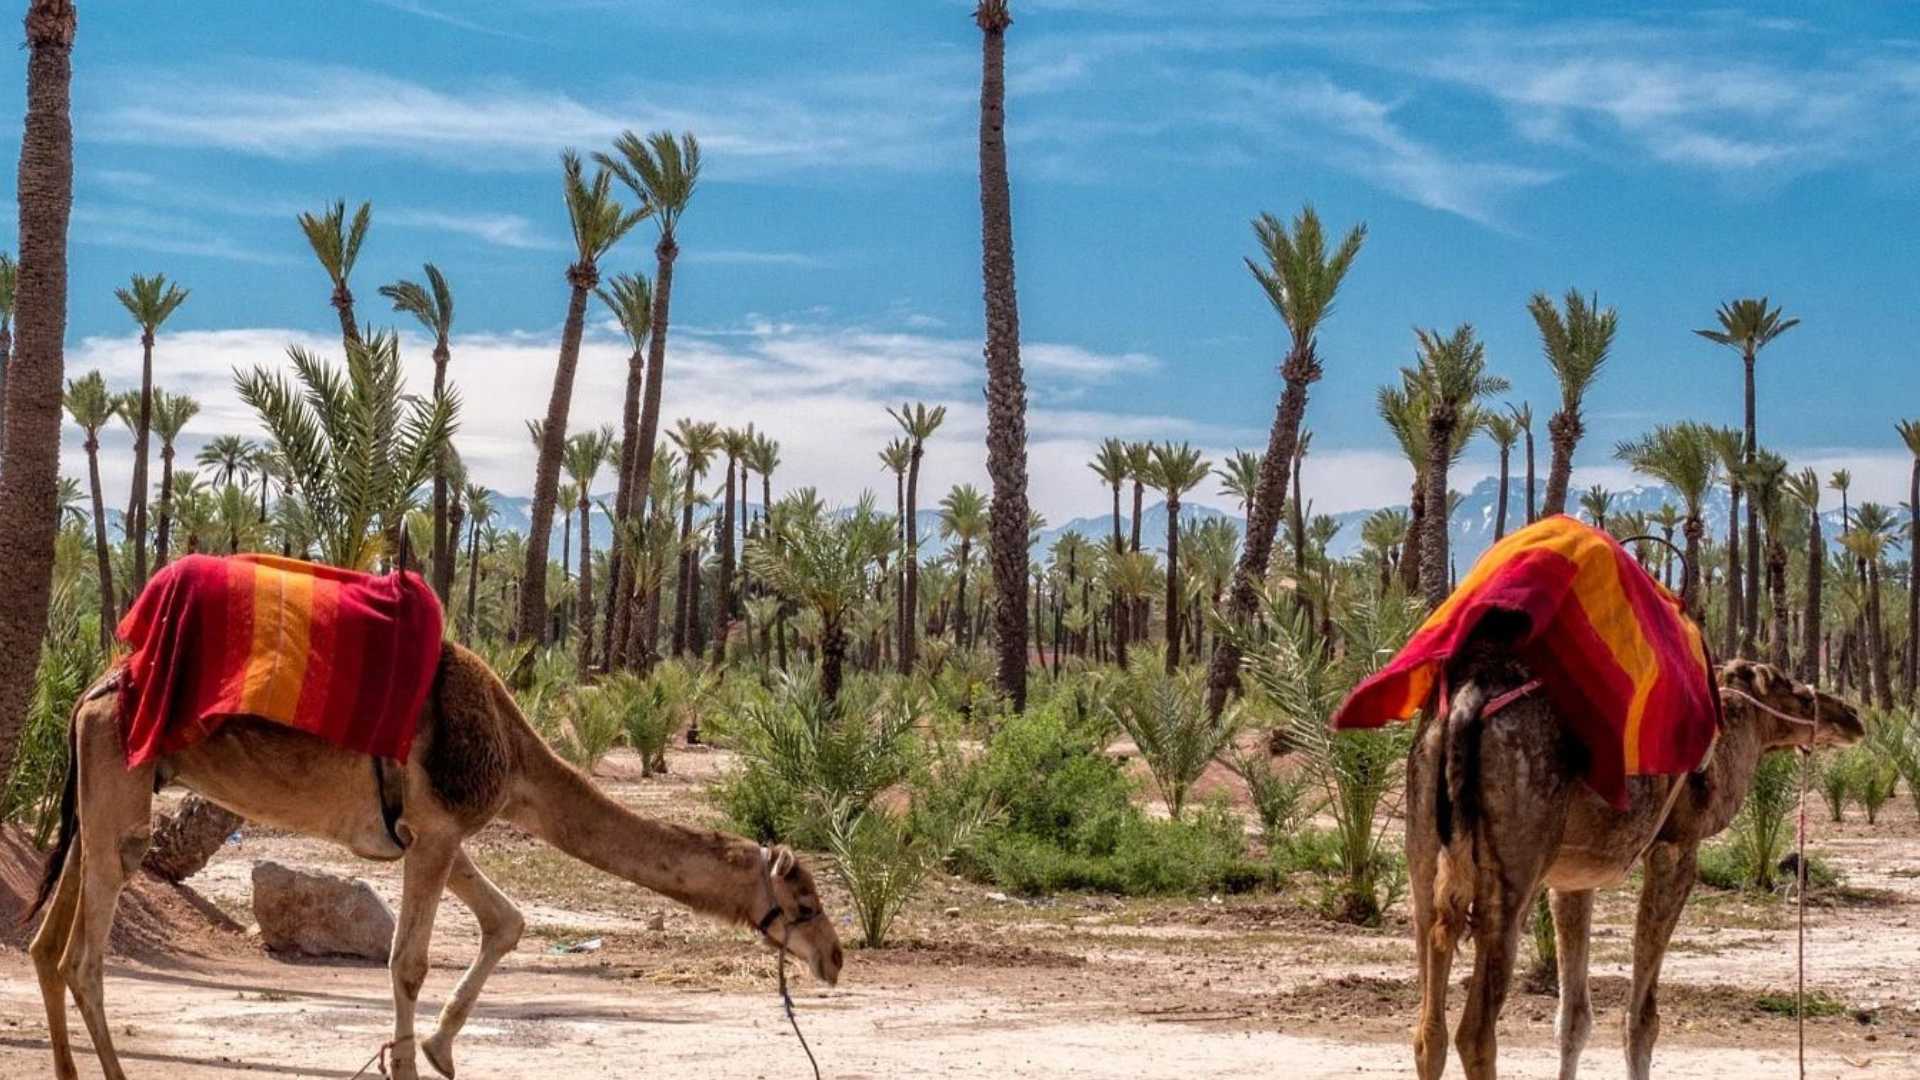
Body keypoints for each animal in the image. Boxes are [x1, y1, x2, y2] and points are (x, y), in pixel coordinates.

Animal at [27, 641, 844, 1080]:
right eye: (804, 904)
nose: (834, 959)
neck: (514, 757)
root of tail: (88, 693)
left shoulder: (434, 835)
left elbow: (507, 922)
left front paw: (439, 1049)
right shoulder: (440, 827)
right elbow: (409, 963)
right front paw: (412, 1057)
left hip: (100, 797)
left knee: (43, 943)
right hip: (121, 794)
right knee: (82, 958)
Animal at [1407, 651, 1862, 1080]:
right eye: (1796, 693)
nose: (1851, 715)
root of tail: (1465, 703)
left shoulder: (1573, 876)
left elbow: (1573, 1019)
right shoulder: (1674, 850)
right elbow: (1643, 1020)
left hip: (1426, 845)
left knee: (1429, 1028)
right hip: (1515, 859)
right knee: (1475, 1032)